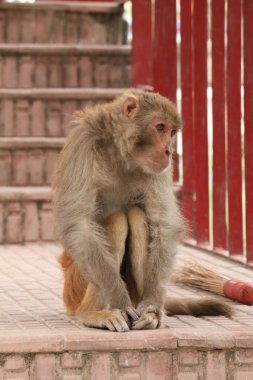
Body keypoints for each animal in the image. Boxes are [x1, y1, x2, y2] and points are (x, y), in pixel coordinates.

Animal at [52, 90, 231, 332]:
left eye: (172, 132)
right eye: (160, 127)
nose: (169, 150)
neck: (120, 152)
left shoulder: (160, 167)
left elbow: (163, 224)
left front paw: (153, 304)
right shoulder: (83, 143)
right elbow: (79, 225)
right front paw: (118, 300)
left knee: (137, 216)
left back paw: (150, 313)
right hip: (74, 284)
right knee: (117, 221)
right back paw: (92, 312)